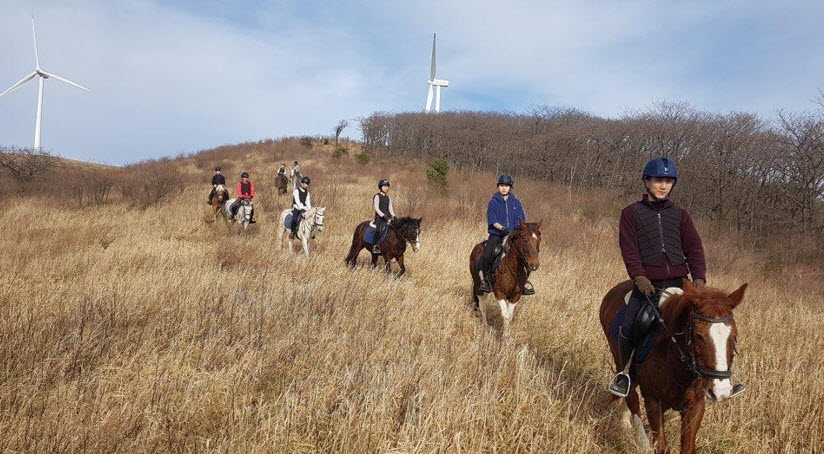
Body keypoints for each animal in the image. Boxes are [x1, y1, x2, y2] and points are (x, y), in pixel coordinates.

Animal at [600, 280, 748, 454]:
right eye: (698, 336)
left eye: (734, 336)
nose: (721, 391)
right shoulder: (653, 401)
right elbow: (662, 447)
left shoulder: (695, 405)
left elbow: (687, 448)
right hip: (621, 359)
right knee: (631, 395)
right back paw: (641, 441)